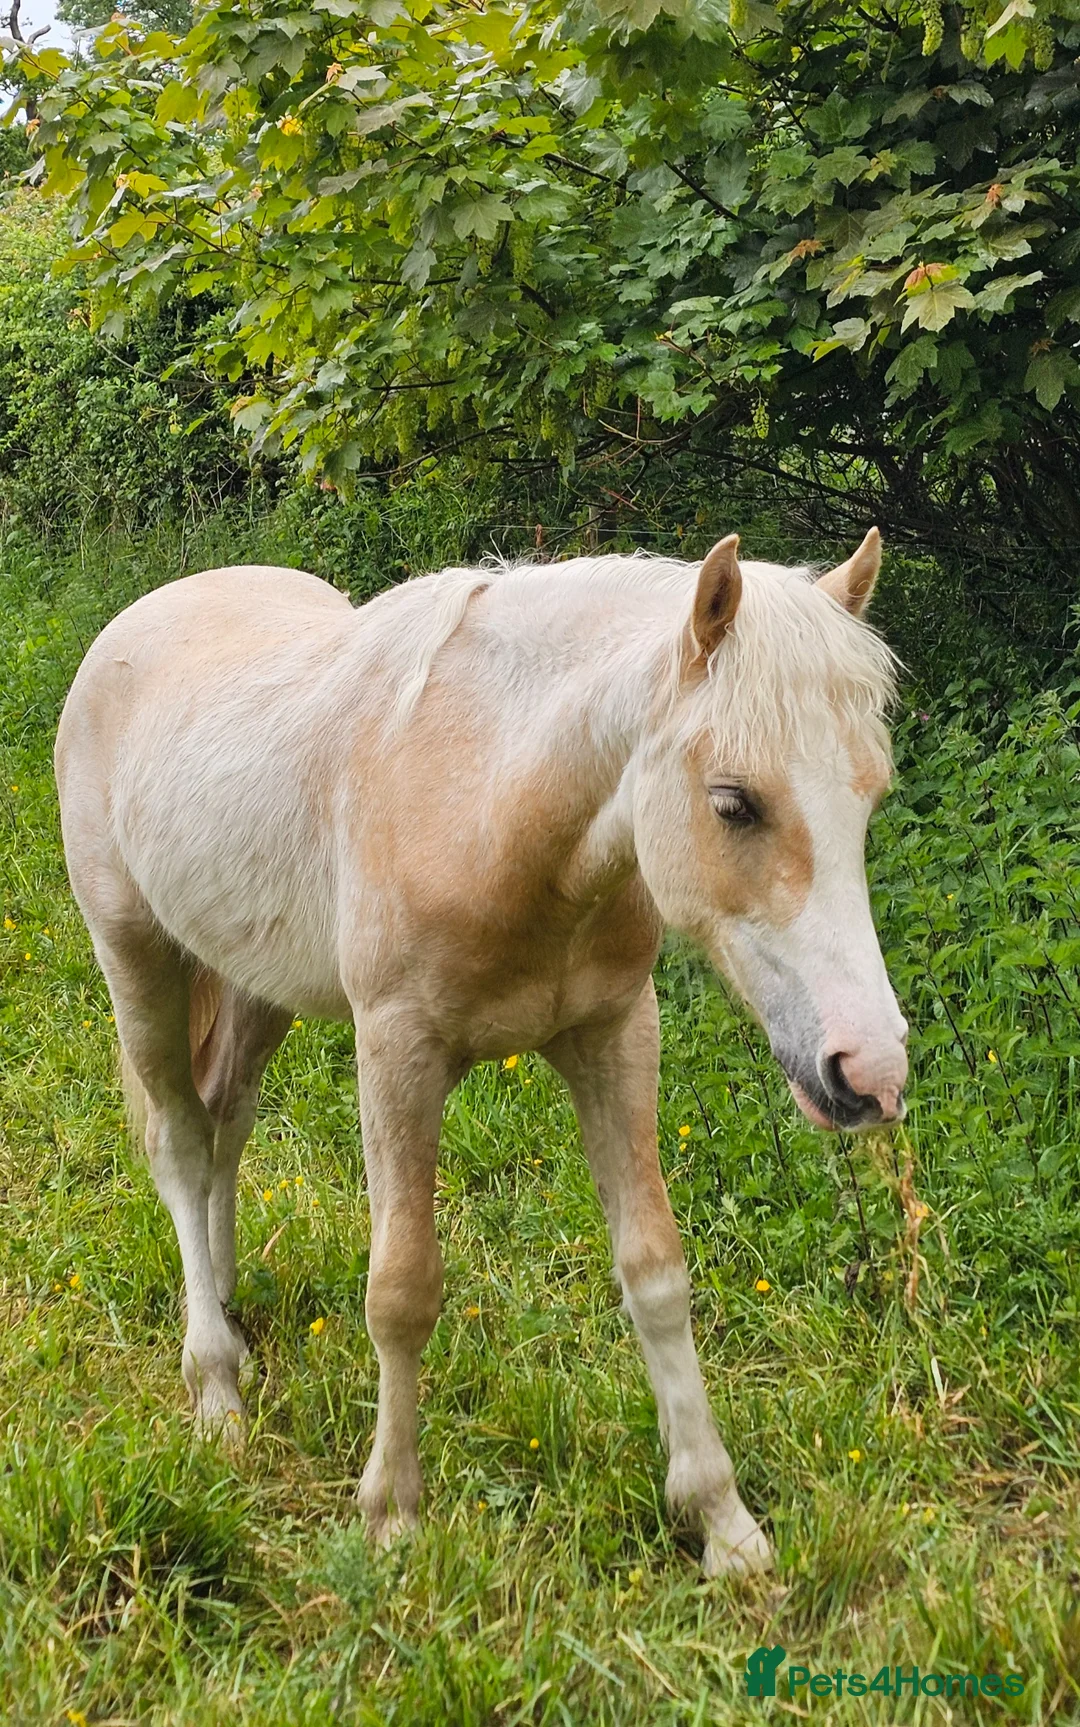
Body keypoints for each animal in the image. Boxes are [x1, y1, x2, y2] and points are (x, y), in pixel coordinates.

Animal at [54, 528, 908, 1576]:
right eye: (734, 802)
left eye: (870, 796)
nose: (870, 1072)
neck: (492, 799)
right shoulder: (397, 1052)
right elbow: (401, 1289)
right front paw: (392, 1514)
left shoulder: (614, 1034)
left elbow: (655, 1272)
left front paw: (722, 1521)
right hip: (136, 957)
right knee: (178, 1142)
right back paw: (216, 1389)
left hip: (254, 985)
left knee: (226, 1125)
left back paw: (230, 1320)